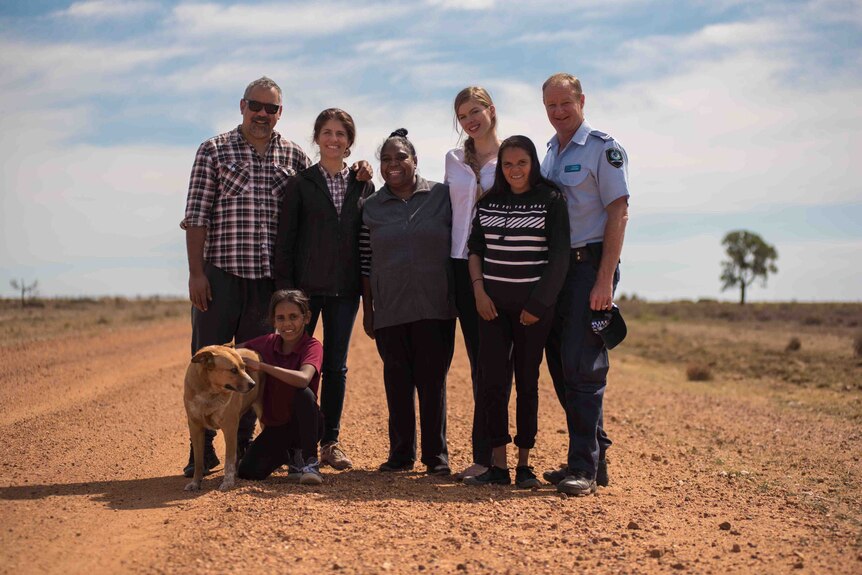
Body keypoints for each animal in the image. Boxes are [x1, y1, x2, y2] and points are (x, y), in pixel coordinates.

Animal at [182, 344, 264, 492]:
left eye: (244, 367)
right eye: (233, 370)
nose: (253, 384)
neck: (209, 392)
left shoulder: (230, 426)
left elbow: (229, 460)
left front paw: (228, 482)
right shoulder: (195, 426)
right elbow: (198, 461)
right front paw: (195, 483)